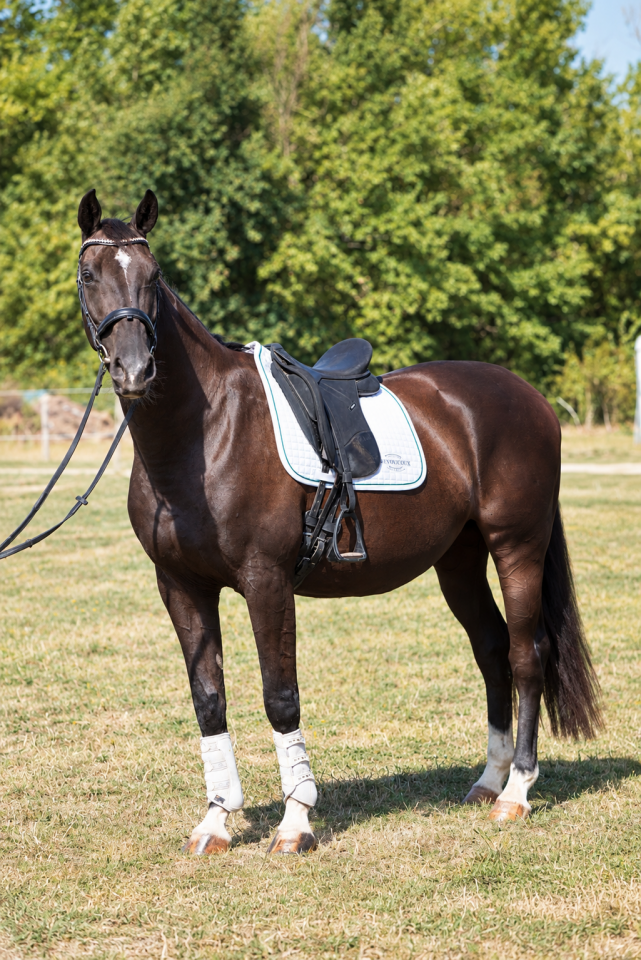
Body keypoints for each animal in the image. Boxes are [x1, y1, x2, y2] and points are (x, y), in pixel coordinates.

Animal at [75, 187, 601, 855]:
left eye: (154, 275)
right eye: (90, 276)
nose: (134, 371)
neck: (207, 431)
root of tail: (529, 397)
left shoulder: (266, 581)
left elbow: (280, 697)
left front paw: (295, 822)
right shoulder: (181, 586)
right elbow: (208, 699)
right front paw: (216, 821)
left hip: (517, 546)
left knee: (526, 652)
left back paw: (515, 793)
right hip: (459, 560)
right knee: (491, 650)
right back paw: (488, 780)